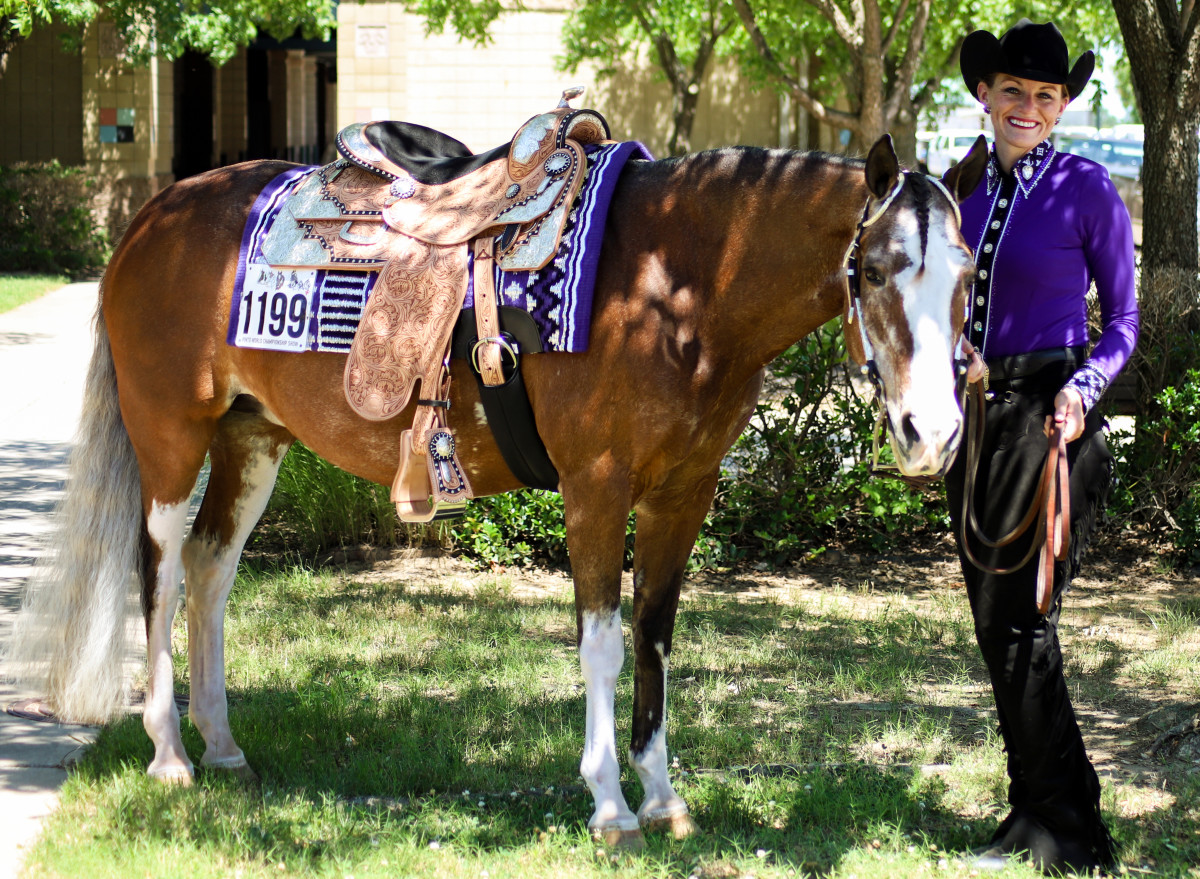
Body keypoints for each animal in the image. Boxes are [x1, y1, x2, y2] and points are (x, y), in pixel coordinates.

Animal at [7, 133, 984, 850]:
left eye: (970, 275)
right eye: (871, 271)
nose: (932, 435)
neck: (679, 279)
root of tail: (153, 216)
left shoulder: (684, 494)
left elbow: (656, 640)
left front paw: (663, 796)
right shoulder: (597, 488)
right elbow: (603, 645)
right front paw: (611, 807)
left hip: (254, 438)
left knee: (211, 572)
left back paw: (223, 746)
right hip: (171, 439)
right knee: (162, 574)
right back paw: (170, 752)